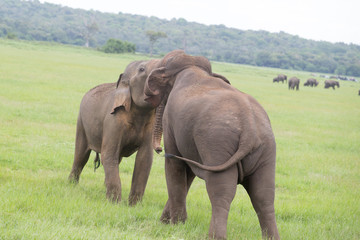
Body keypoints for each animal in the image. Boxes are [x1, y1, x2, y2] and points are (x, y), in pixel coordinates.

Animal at [68, 59, 163, 205]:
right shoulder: (113, 120)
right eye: (142, 69)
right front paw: (115, 204)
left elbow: (144, 159)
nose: (160, 149)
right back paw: (71, 185)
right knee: (81, 155)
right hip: (81, 123)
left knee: (116, 159)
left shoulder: (150, 127)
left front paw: (134, 206)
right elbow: (108, 155)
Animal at [143, 49, 278, 239]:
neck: (191, 66)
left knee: (221, 191)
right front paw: (168, 223)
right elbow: (188, 173)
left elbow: (175, 164)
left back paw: (215, 236)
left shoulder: (171, 122)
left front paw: (175, 225)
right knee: (263, 195)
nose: (159, 149)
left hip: (217, 144)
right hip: (266, 150)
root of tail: (249, 129)